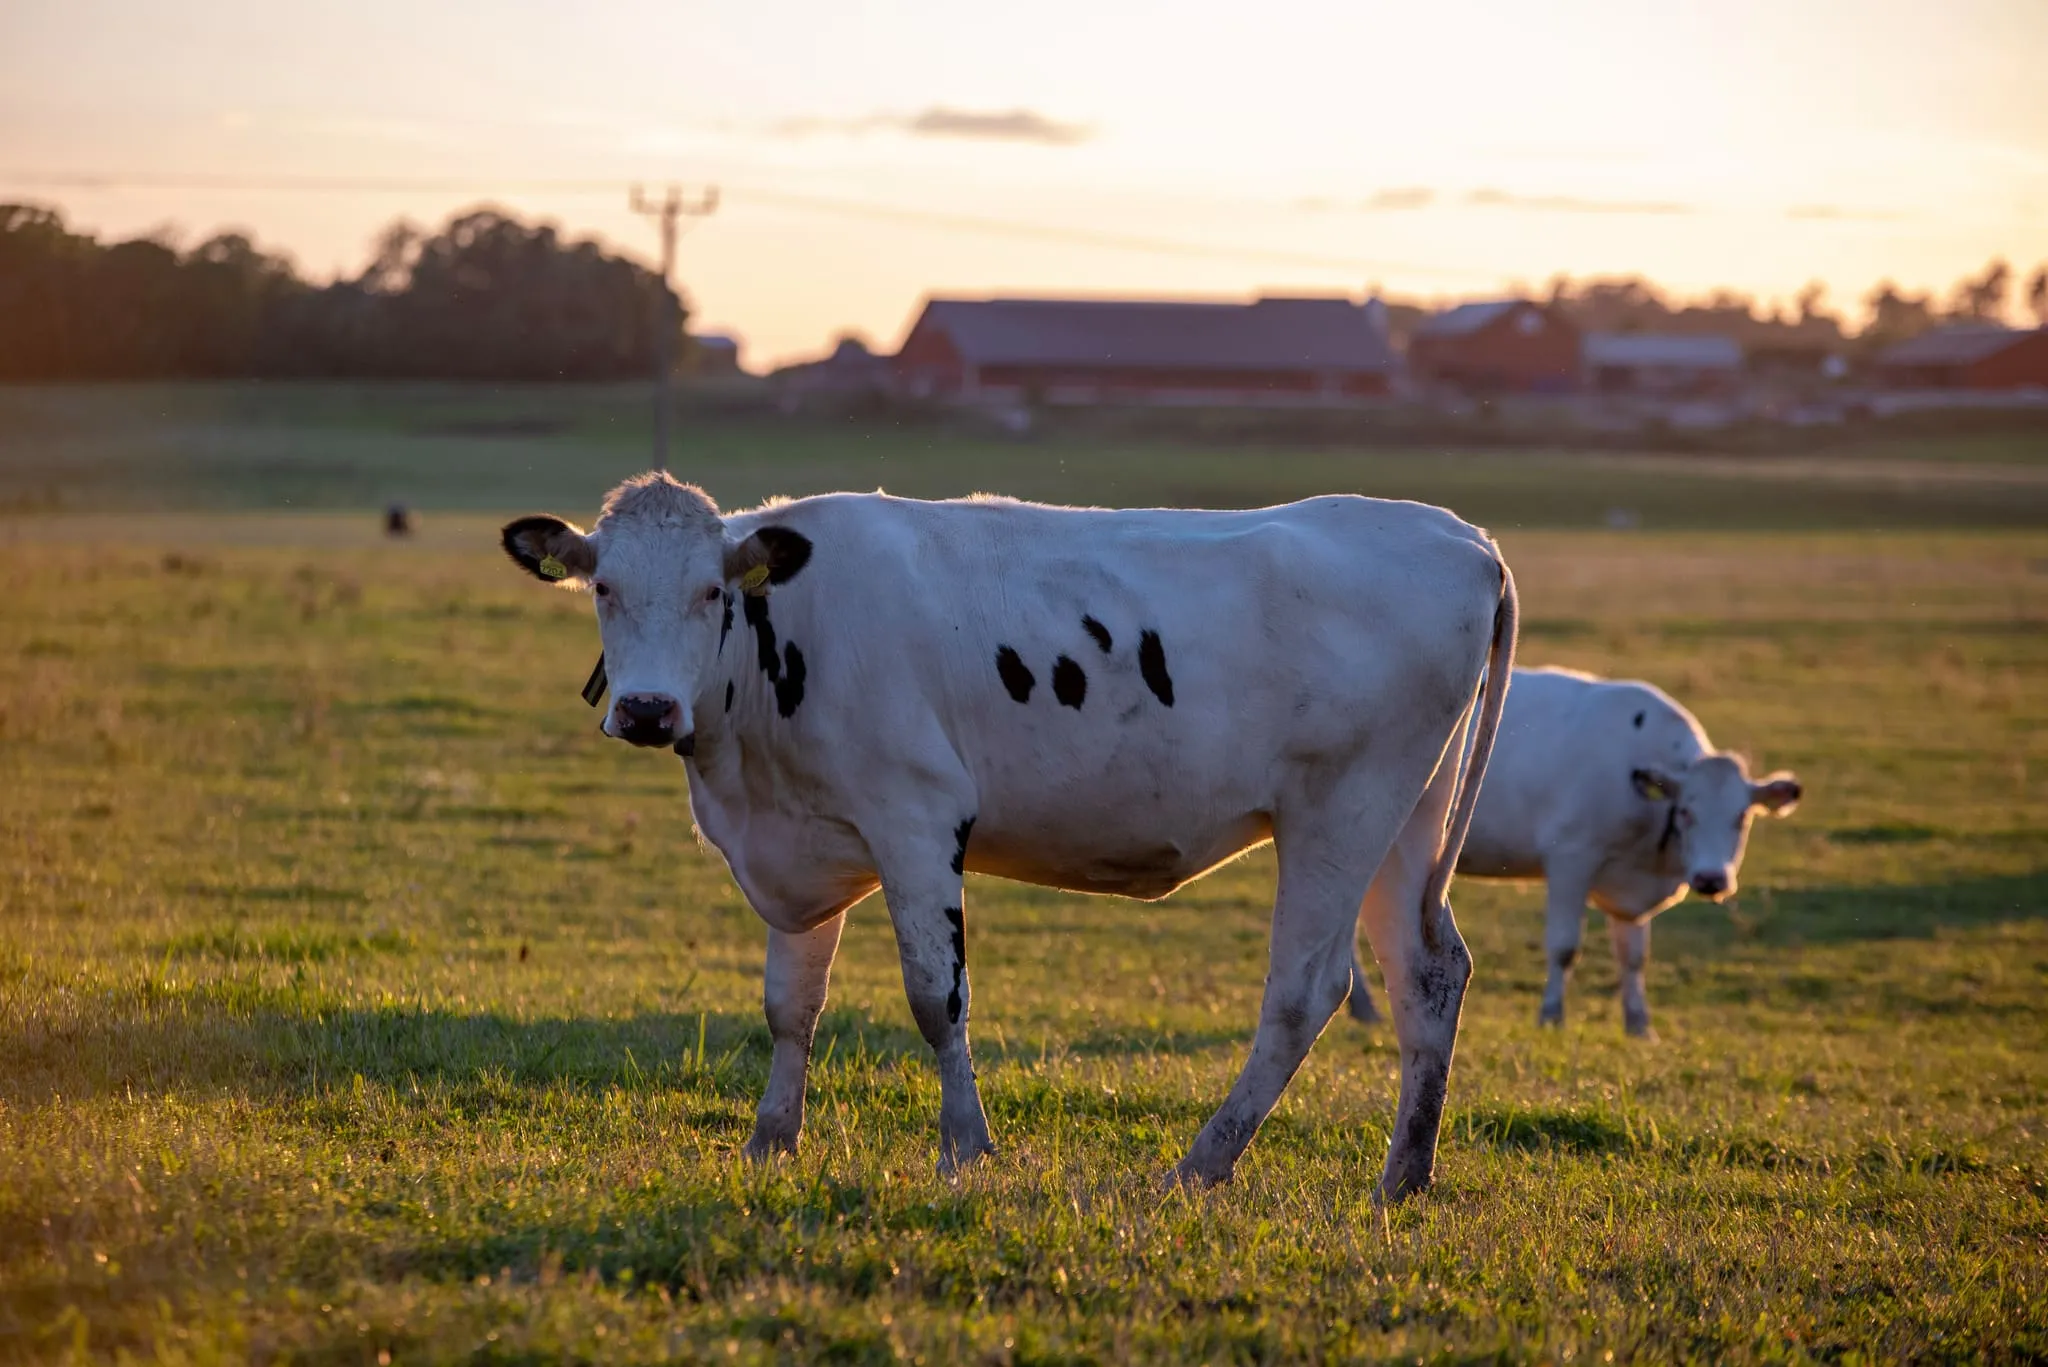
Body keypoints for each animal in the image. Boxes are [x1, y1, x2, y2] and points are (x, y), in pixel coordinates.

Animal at [501, 475, 1515, 1205]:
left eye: (711, 591)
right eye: (604, 588)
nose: (645, 709)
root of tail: (1458, 537)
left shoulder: (916, 817)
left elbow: (934, 997)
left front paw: (965, 1148)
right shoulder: (802, 837)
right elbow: (791, 1005)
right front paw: (769, 1141)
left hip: (1340, 809)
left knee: (1306, 989)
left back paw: (1200, 1164)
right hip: (1405, 820)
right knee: (1427, 973)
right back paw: (1403, 1177)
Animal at [1351, 664, 1802, 1037]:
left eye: (1742, 817)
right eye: (1686, 811)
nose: (1711, 879)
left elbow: (1633, 957)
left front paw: (1639, 1025)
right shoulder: (1571, 859)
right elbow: (1565, 946)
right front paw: (1551, 1015)